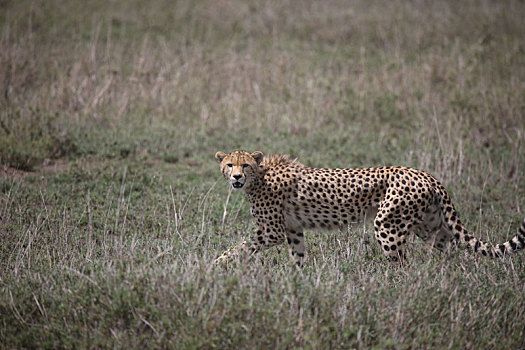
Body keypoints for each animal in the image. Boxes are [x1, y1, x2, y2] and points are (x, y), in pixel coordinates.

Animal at [213, 149, 524, 266]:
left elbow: (242, 246)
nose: (237, 177)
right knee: (445, 244)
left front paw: (216, 264)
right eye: (229, 164)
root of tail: (425, 174)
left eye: (245, 165)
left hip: (387, 224)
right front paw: (298, 281)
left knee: (402, 264)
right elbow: (298, 256)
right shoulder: (292, 229)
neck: (259, 177)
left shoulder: (272, 231)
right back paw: (440, 275)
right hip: (429, 224)